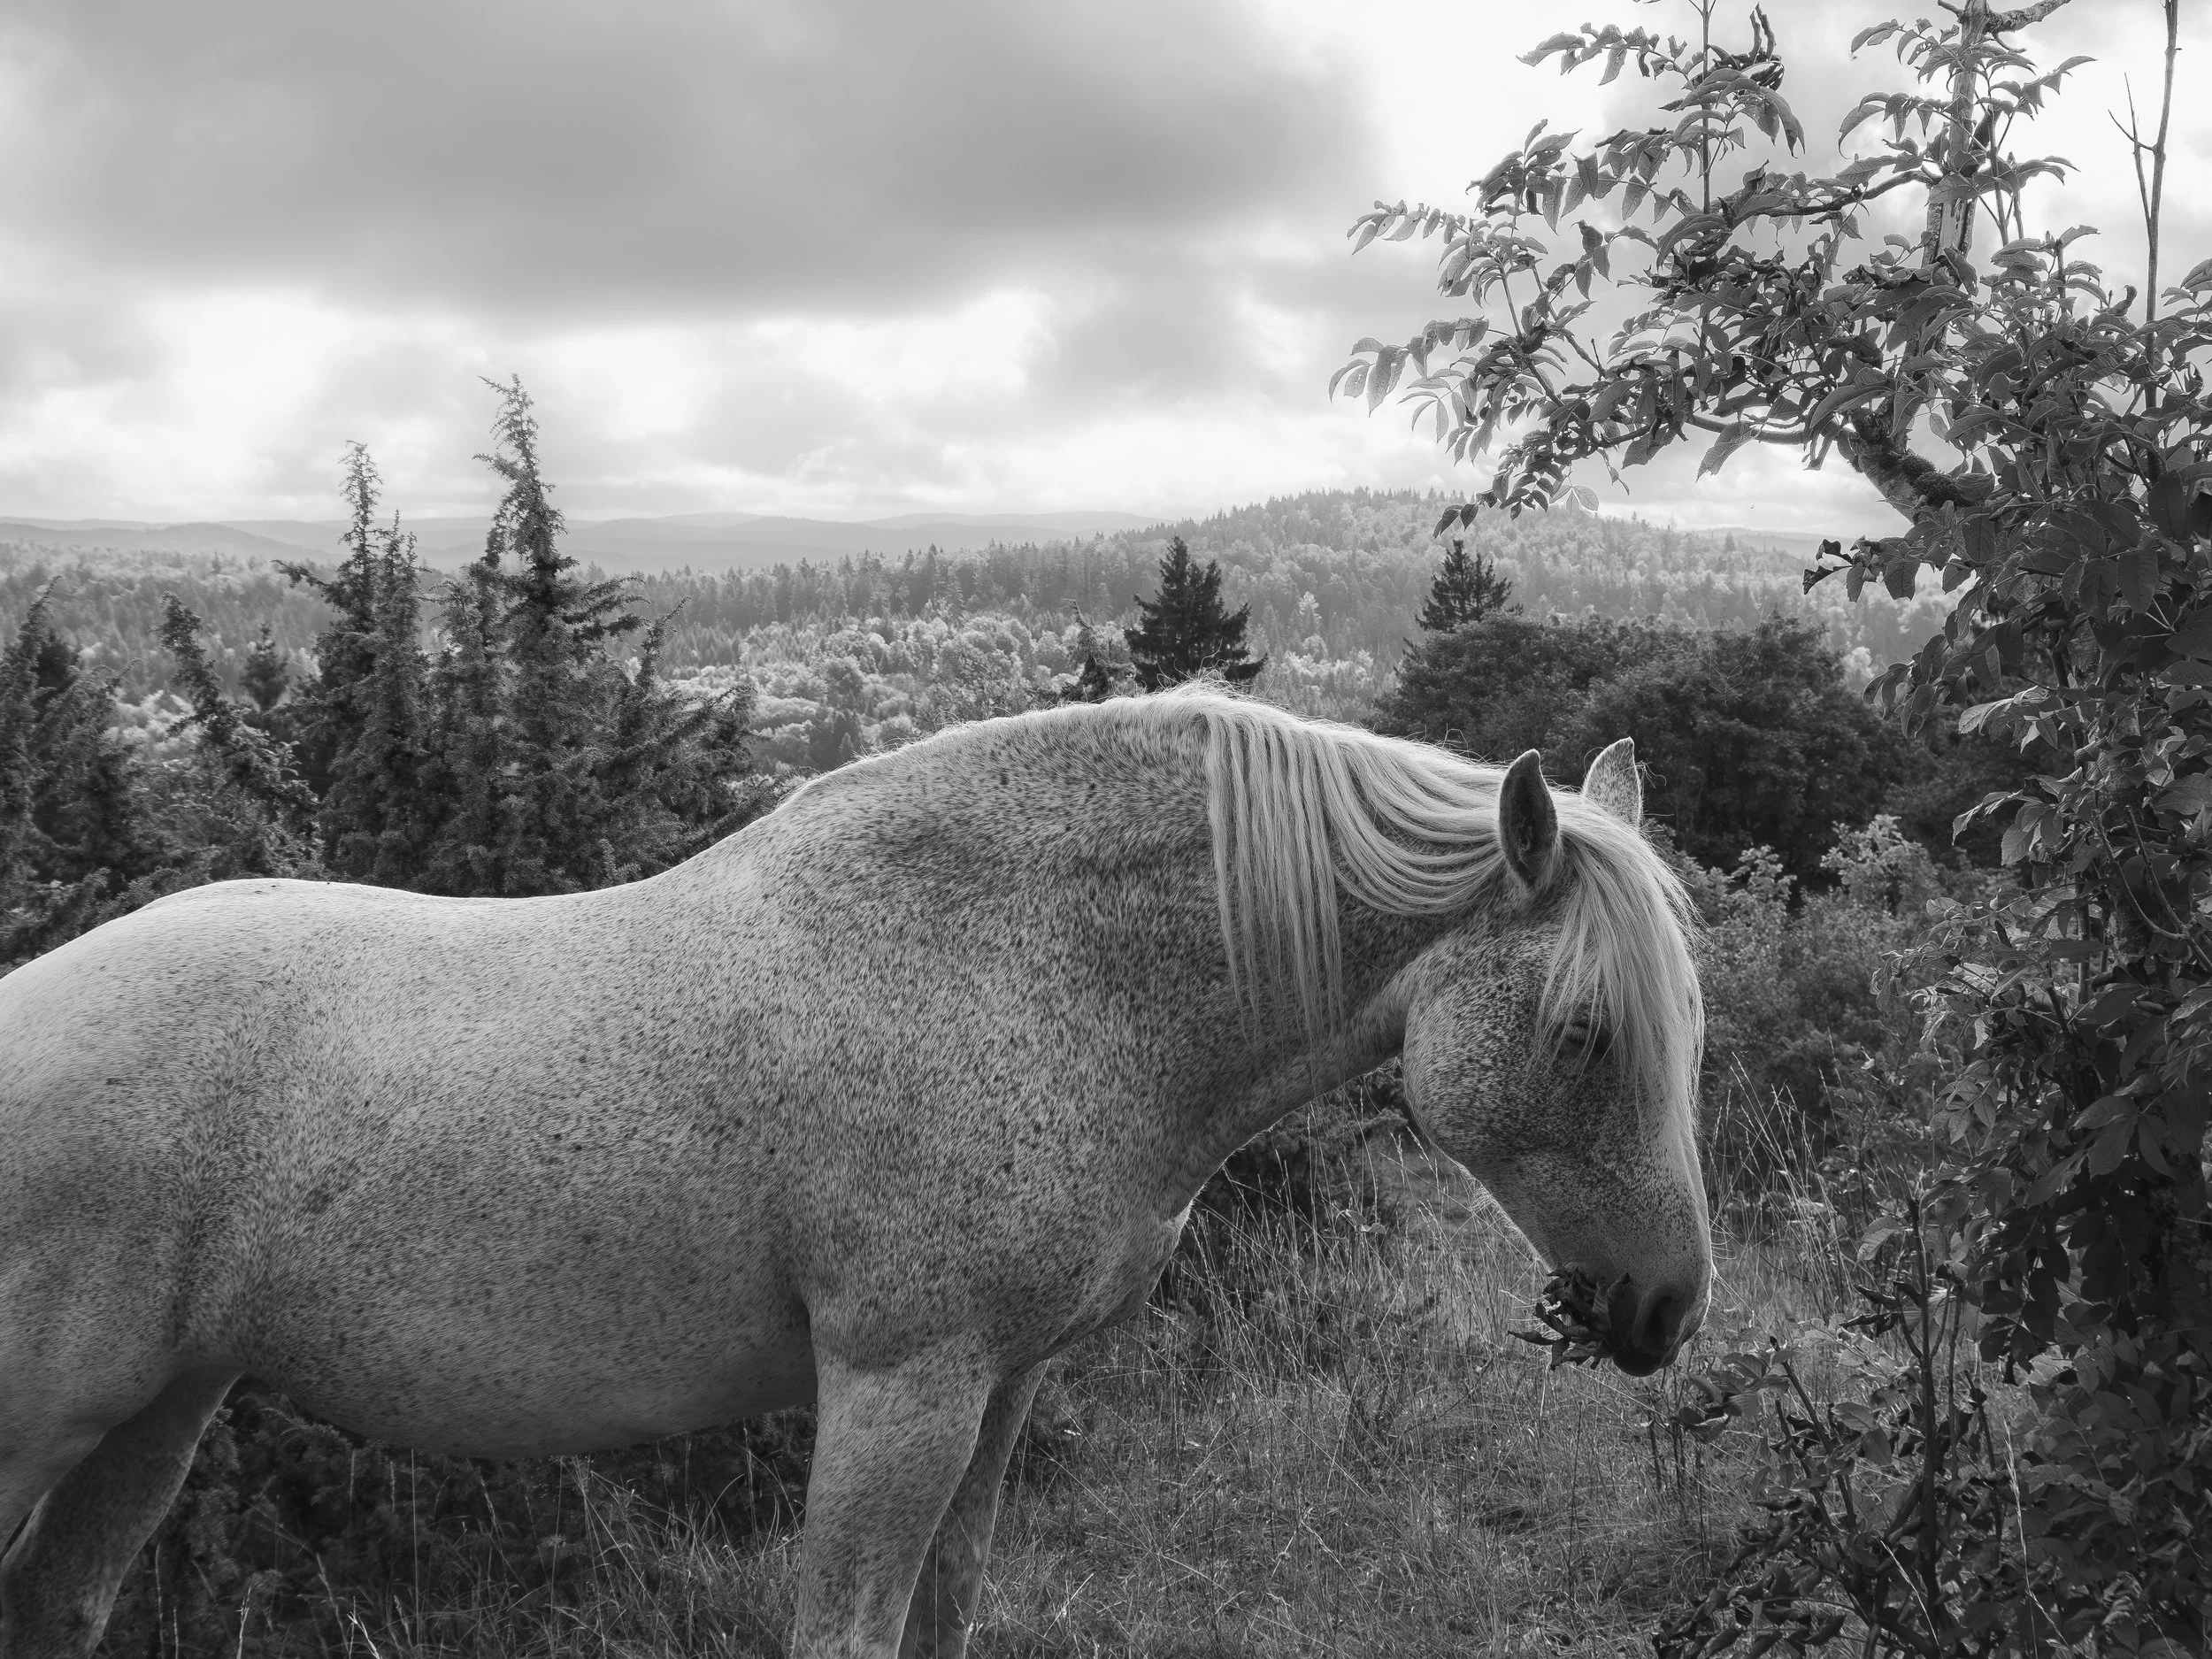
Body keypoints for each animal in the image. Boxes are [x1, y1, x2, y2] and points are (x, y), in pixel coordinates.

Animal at [0, 688, 1708, 1659]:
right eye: (1583, 1032)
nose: (1668, 1307)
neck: (1038, 972)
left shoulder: (1003, 1387)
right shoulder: (902, 1386)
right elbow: (850, 1626)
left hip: (156, 1414)